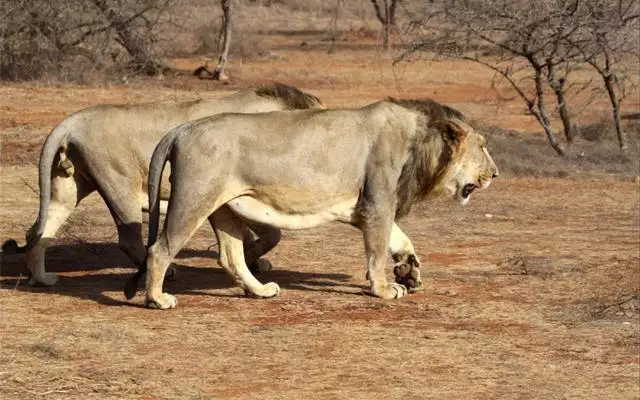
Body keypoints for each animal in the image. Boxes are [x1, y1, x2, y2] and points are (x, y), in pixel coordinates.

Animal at [2, 82, 324, 294]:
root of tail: (69, 122)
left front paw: (252, 262)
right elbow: (270, 235)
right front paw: (252, 257)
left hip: (69, 187)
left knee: (38, 232)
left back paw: (41, 278)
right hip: (120, 184)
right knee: (129, 240)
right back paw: (168, 271)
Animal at [144, 98, 500, 308]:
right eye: (482, 146)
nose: (495, 174)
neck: (421, 144)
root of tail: (179, 129)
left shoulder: (371, 207)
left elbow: (400, 239)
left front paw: (409, 272)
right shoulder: (377, 204)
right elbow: (377, 251)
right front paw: (385, 289)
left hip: (225, 207)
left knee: (231, 257)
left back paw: (260, 291)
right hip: (193, 199)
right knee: (159, 249)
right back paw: (157, 299)